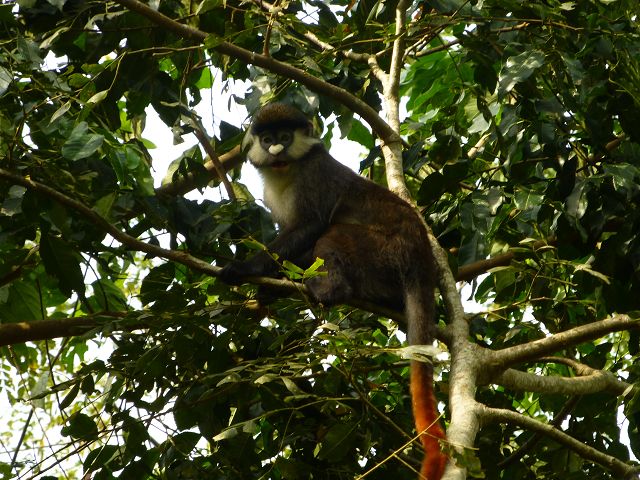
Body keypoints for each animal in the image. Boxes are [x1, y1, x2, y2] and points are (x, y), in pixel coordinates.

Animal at [220, 103, 447, 479]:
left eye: (285, 137)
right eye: (267, 139)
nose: (276, 150)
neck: (288, 172)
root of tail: (421, 260)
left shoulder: (315, 175)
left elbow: (311, 227)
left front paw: (244, 269)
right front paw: (267, 293)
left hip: (384, 253)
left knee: (334, 235)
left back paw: (329, 289)